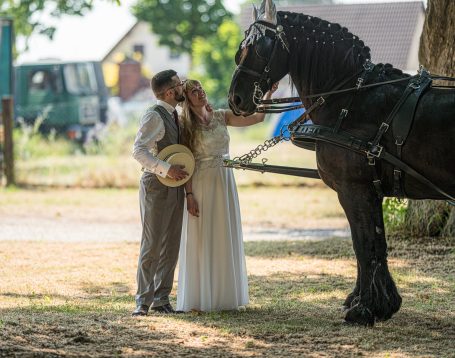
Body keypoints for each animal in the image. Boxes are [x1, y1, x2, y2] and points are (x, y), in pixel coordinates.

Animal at [230, 0, 455, 326]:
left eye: (259, 48)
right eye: (241, 48)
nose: (235, 98)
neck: (351, 98)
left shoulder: (356, 189)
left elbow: (366, 244)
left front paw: (367, 308)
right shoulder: (365, 191)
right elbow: (366, 244)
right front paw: (369, 301)